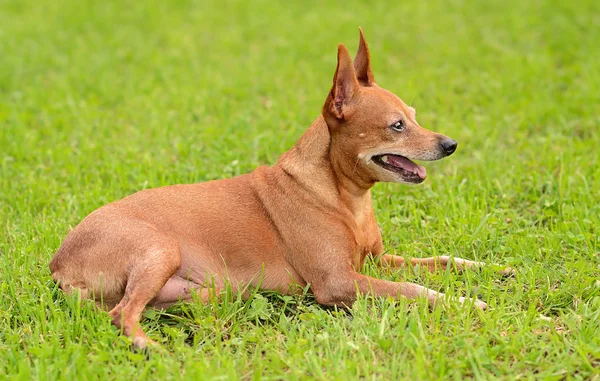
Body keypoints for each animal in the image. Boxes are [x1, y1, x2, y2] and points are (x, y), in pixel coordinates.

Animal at [50, 29, 492, 348]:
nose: (450, 144)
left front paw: (489, 269)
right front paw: (465, 302)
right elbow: (414, 289)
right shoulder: (340, 282)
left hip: (207, 290)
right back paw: (151, 348)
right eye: (397, 126)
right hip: (160, 249)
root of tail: (58, 264)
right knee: (122, 315)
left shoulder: (376, 261)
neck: (343, 197)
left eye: (415, 117)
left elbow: (443, 260)